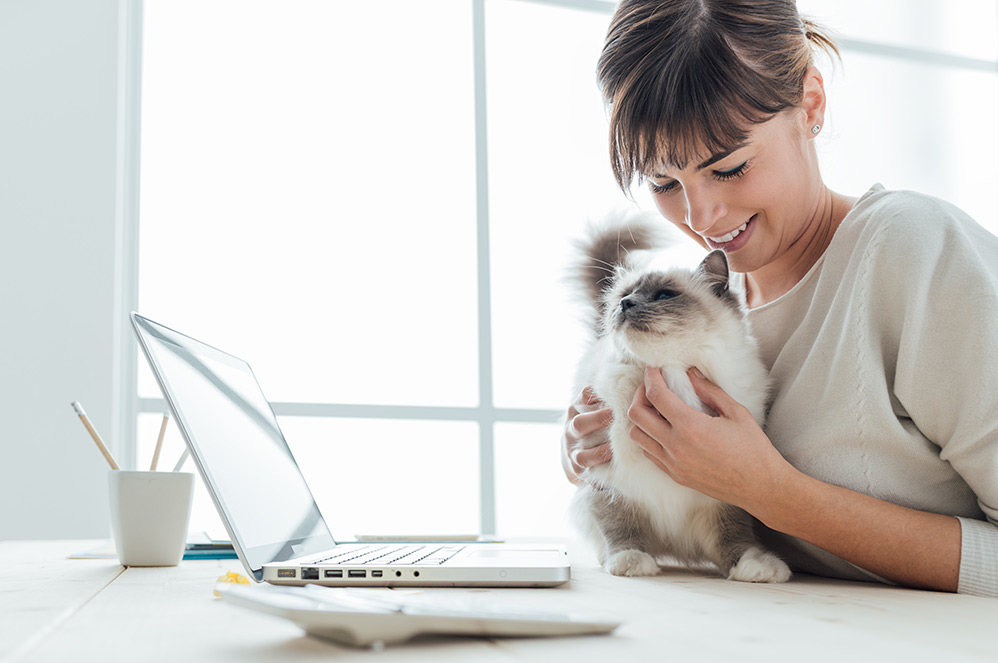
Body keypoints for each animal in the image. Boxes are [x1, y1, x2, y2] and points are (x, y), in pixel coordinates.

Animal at [572, 218, 796, 580]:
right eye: (624, 296)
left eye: (664, 295)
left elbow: (735, 535)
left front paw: (755, 567)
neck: (670, 372)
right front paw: (631, 562)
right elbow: (620, 527)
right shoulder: (607, 479)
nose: (625, 304)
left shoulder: (725, 494)